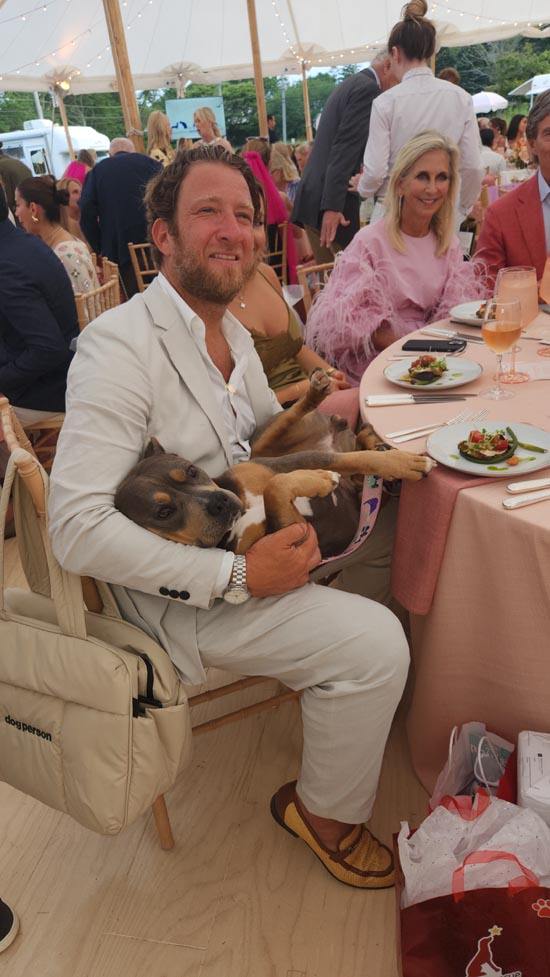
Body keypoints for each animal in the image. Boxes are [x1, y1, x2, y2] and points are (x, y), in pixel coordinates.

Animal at [116, 370, 436, 556]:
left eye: (192, 471)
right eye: (163, 513)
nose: (219, 504)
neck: (244, 508)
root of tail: (332, 430)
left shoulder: (287, 463)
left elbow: (355, 460)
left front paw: (401, 462)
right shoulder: (294, 535)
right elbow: (275, 490)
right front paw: (320, 480)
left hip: (263, 445)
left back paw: (319, 394)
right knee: (357, 472)